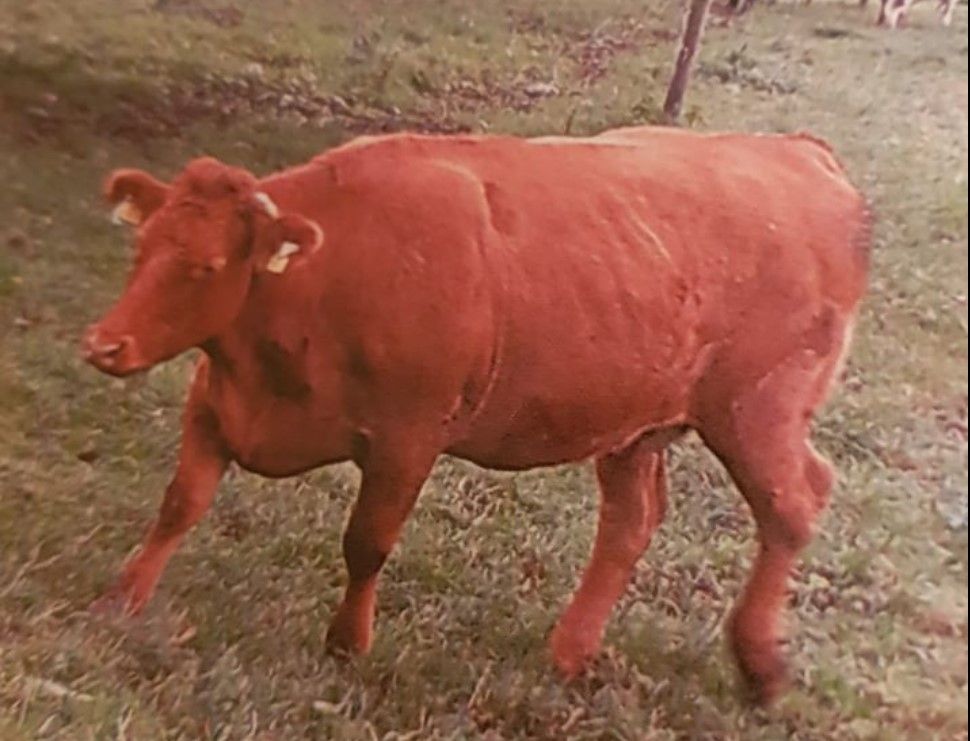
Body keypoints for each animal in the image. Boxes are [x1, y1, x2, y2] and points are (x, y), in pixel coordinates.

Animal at [82, 126, 870, 706]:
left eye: (206, 267)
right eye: (142, 246)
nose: (104, 343)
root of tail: (798, 151)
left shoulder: (408, 438)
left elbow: (366, 542)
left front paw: (347, 644)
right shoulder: (214, 403)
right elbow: (180, 503)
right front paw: (124, 598)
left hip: (755, 411)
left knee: (794, 504)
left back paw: (760, 664)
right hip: (636, 424)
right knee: (631, 521)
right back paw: (570, 651)